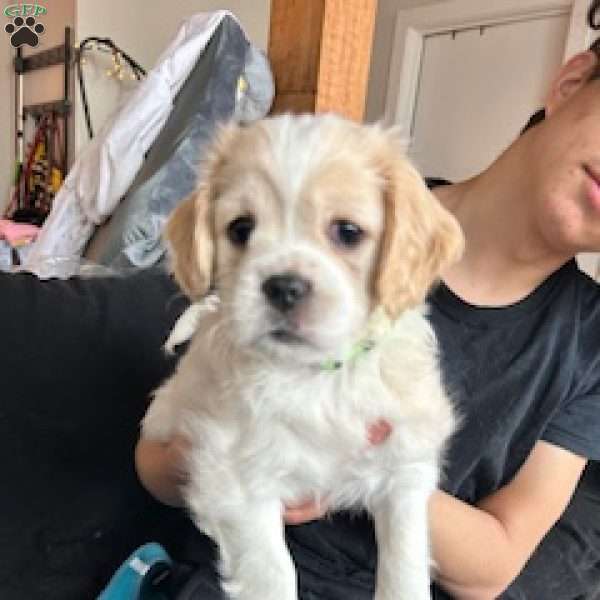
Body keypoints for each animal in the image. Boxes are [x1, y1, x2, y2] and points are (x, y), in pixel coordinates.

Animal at [144, 113, 464, 600]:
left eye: (347, 232)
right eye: (240, 229)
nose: (284, 287)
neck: (317, 377)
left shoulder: (405, 465)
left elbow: (405, 563)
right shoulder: (235, 479)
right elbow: (274, 574)